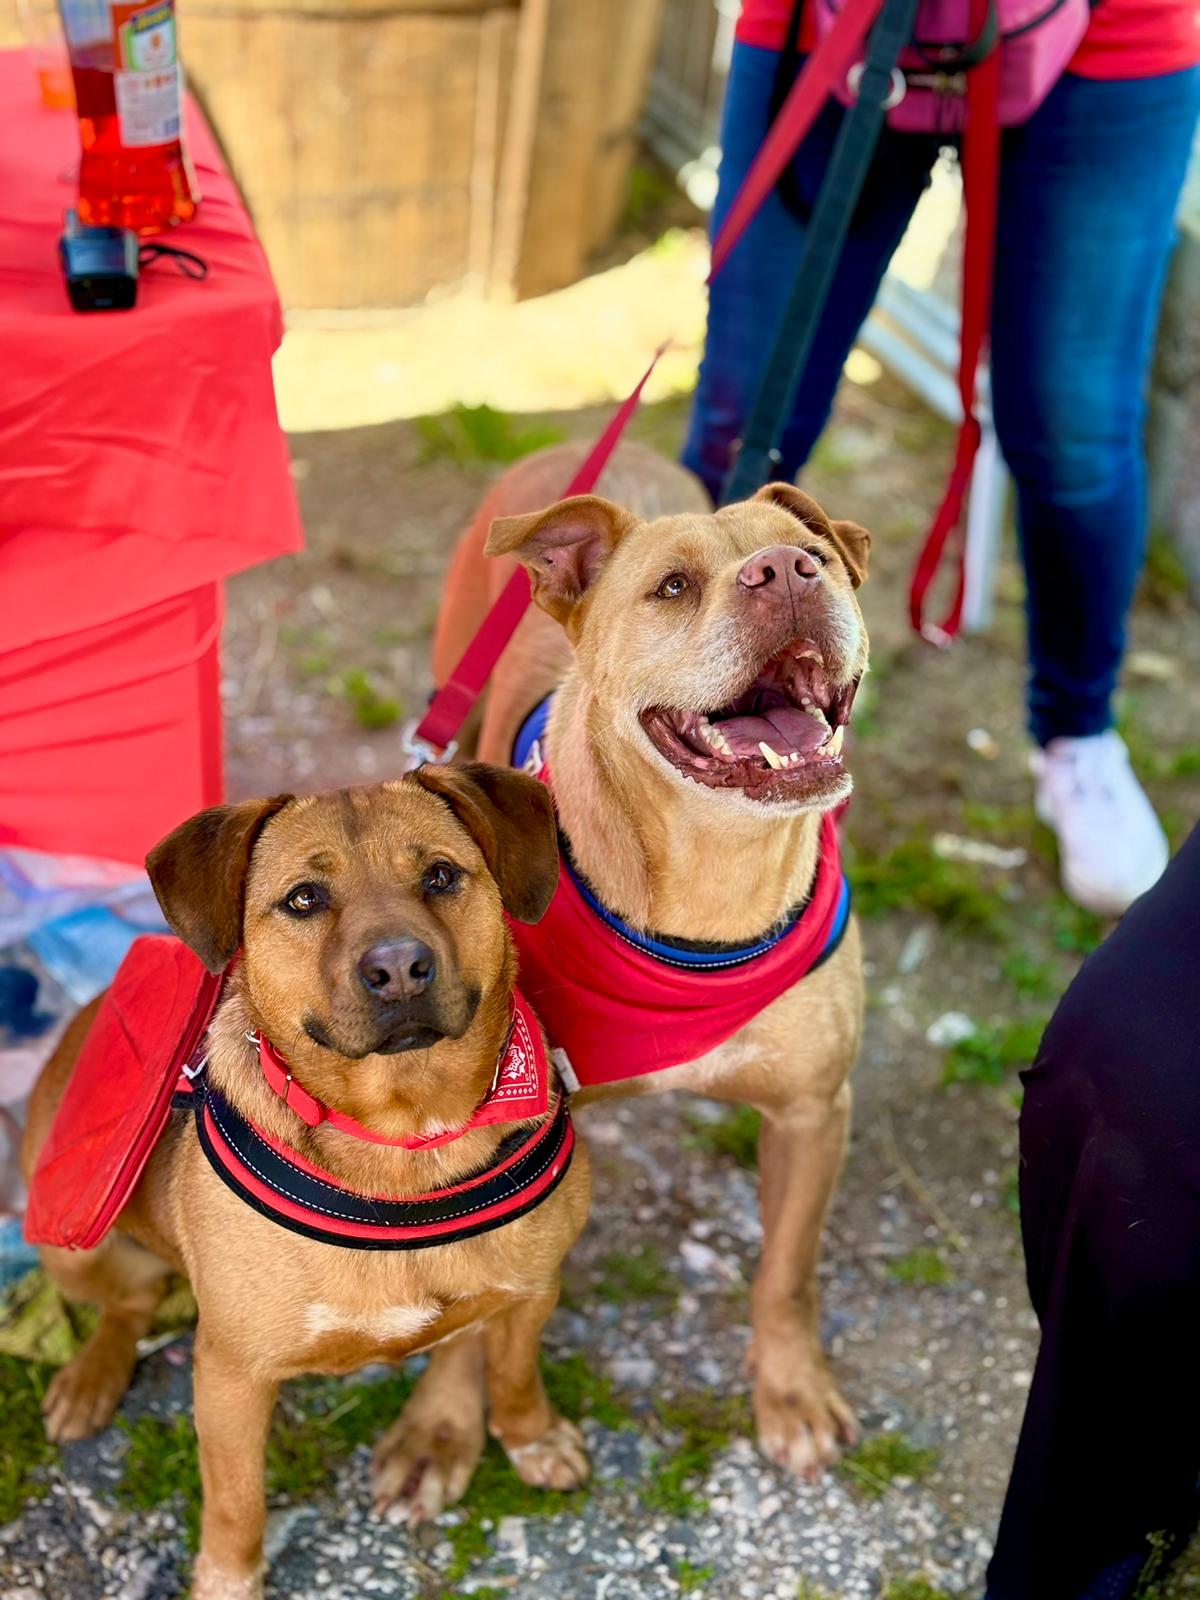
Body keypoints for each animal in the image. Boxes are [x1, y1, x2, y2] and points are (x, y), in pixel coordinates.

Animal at [20, 761, 592, 1600]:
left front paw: (533, 1438)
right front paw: (228, 1581)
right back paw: (91, 1378)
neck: (404, 1135)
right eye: (303, 900)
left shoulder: (534, 1287)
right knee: (129, 1303)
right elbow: (235, 1503)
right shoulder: (230, 1377)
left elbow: (514, 1374)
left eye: (441, 875)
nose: (399, 967)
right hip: (72, 1244)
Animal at [390, 438, 870, 1497]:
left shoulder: (813, 1111)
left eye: (812, 554)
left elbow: (788, 1273)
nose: (787, 573)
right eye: (674, 587)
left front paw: (792, 1393)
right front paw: (442, 1426)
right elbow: (467, 1304)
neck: (710, 885)